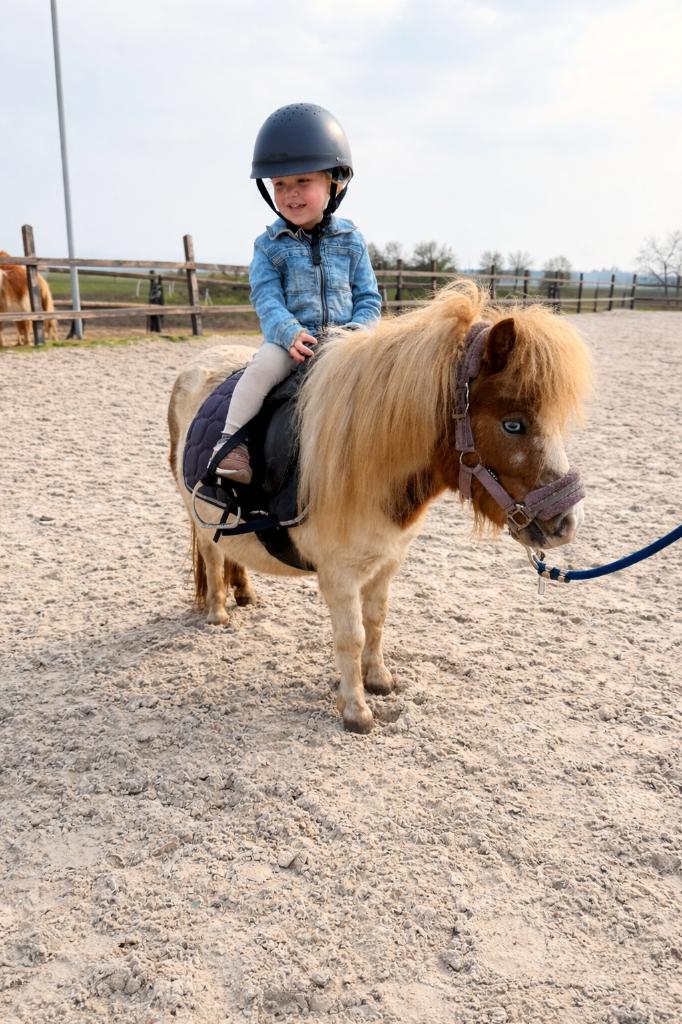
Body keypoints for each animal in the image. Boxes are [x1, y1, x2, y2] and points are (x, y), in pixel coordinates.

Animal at [168, 281, 592, 733]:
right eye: (513, 424)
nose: (567, 522)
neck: (365, 463)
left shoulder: (387, 561)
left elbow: (376, 620)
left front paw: (379, 680)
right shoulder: (338, 576)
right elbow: (350, 637)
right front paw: (356, 711)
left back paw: (244, 593)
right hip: (197, 515)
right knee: (212, 555)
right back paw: (218, 611)